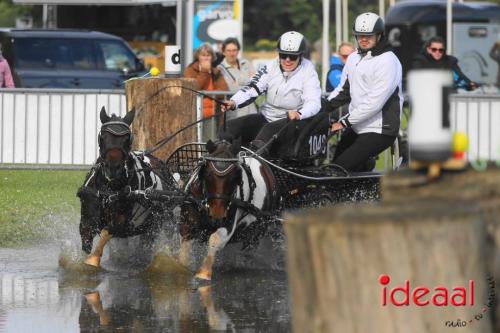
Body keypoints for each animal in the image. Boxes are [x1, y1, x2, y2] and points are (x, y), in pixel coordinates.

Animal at [76, 107, 174, 268]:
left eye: (128, 138)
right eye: (102, 137)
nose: (113, 168)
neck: (108, 191)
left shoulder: (121, 224)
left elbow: (106, 232)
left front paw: (93, 259)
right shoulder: (87, 219)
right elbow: (86, 240)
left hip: (158, 223)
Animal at [179, 139, 278, 278]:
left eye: (234, 176)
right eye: (208, 174)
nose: (217, 214)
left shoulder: (228, 225)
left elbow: (215, 239)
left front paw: (204, 273)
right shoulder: (188, 220)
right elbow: (185, 243)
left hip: (256, 232)